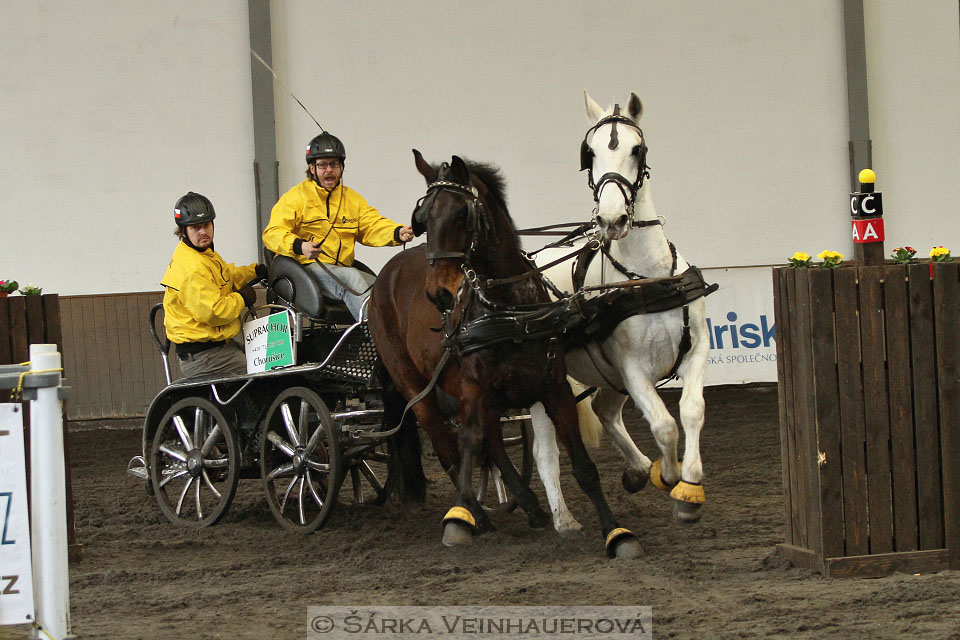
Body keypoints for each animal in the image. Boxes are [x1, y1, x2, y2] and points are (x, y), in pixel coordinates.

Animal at [372, 152, 640, 556]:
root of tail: (384, 276)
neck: (510, 310)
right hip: (416, 389)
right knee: (447, 446)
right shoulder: (473, 387)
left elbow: (582, 465)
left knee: (494, 442)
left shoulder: (553, 387)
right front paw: (459, 518)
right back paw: (477, 516)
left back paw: (530, 507)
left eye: (462, 214)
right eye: (423, 219)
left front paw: (616, 532)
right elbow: (467, 443)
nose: (439, 294)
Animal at [532, 91, 712, 528]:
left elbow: (691, 410)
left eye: (637, 148)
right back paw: (563, 518)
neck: (645, 280)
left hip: (606, 375)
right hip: (545, 386)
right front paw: (671, 478)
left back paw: (636, 470)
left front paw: (690, 486)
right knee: (545, 452)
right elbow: (664, 425)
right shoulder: (632, 368)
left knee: (604, 409)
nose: (611, 219)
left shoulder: (696, 350)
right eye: (590, 153)